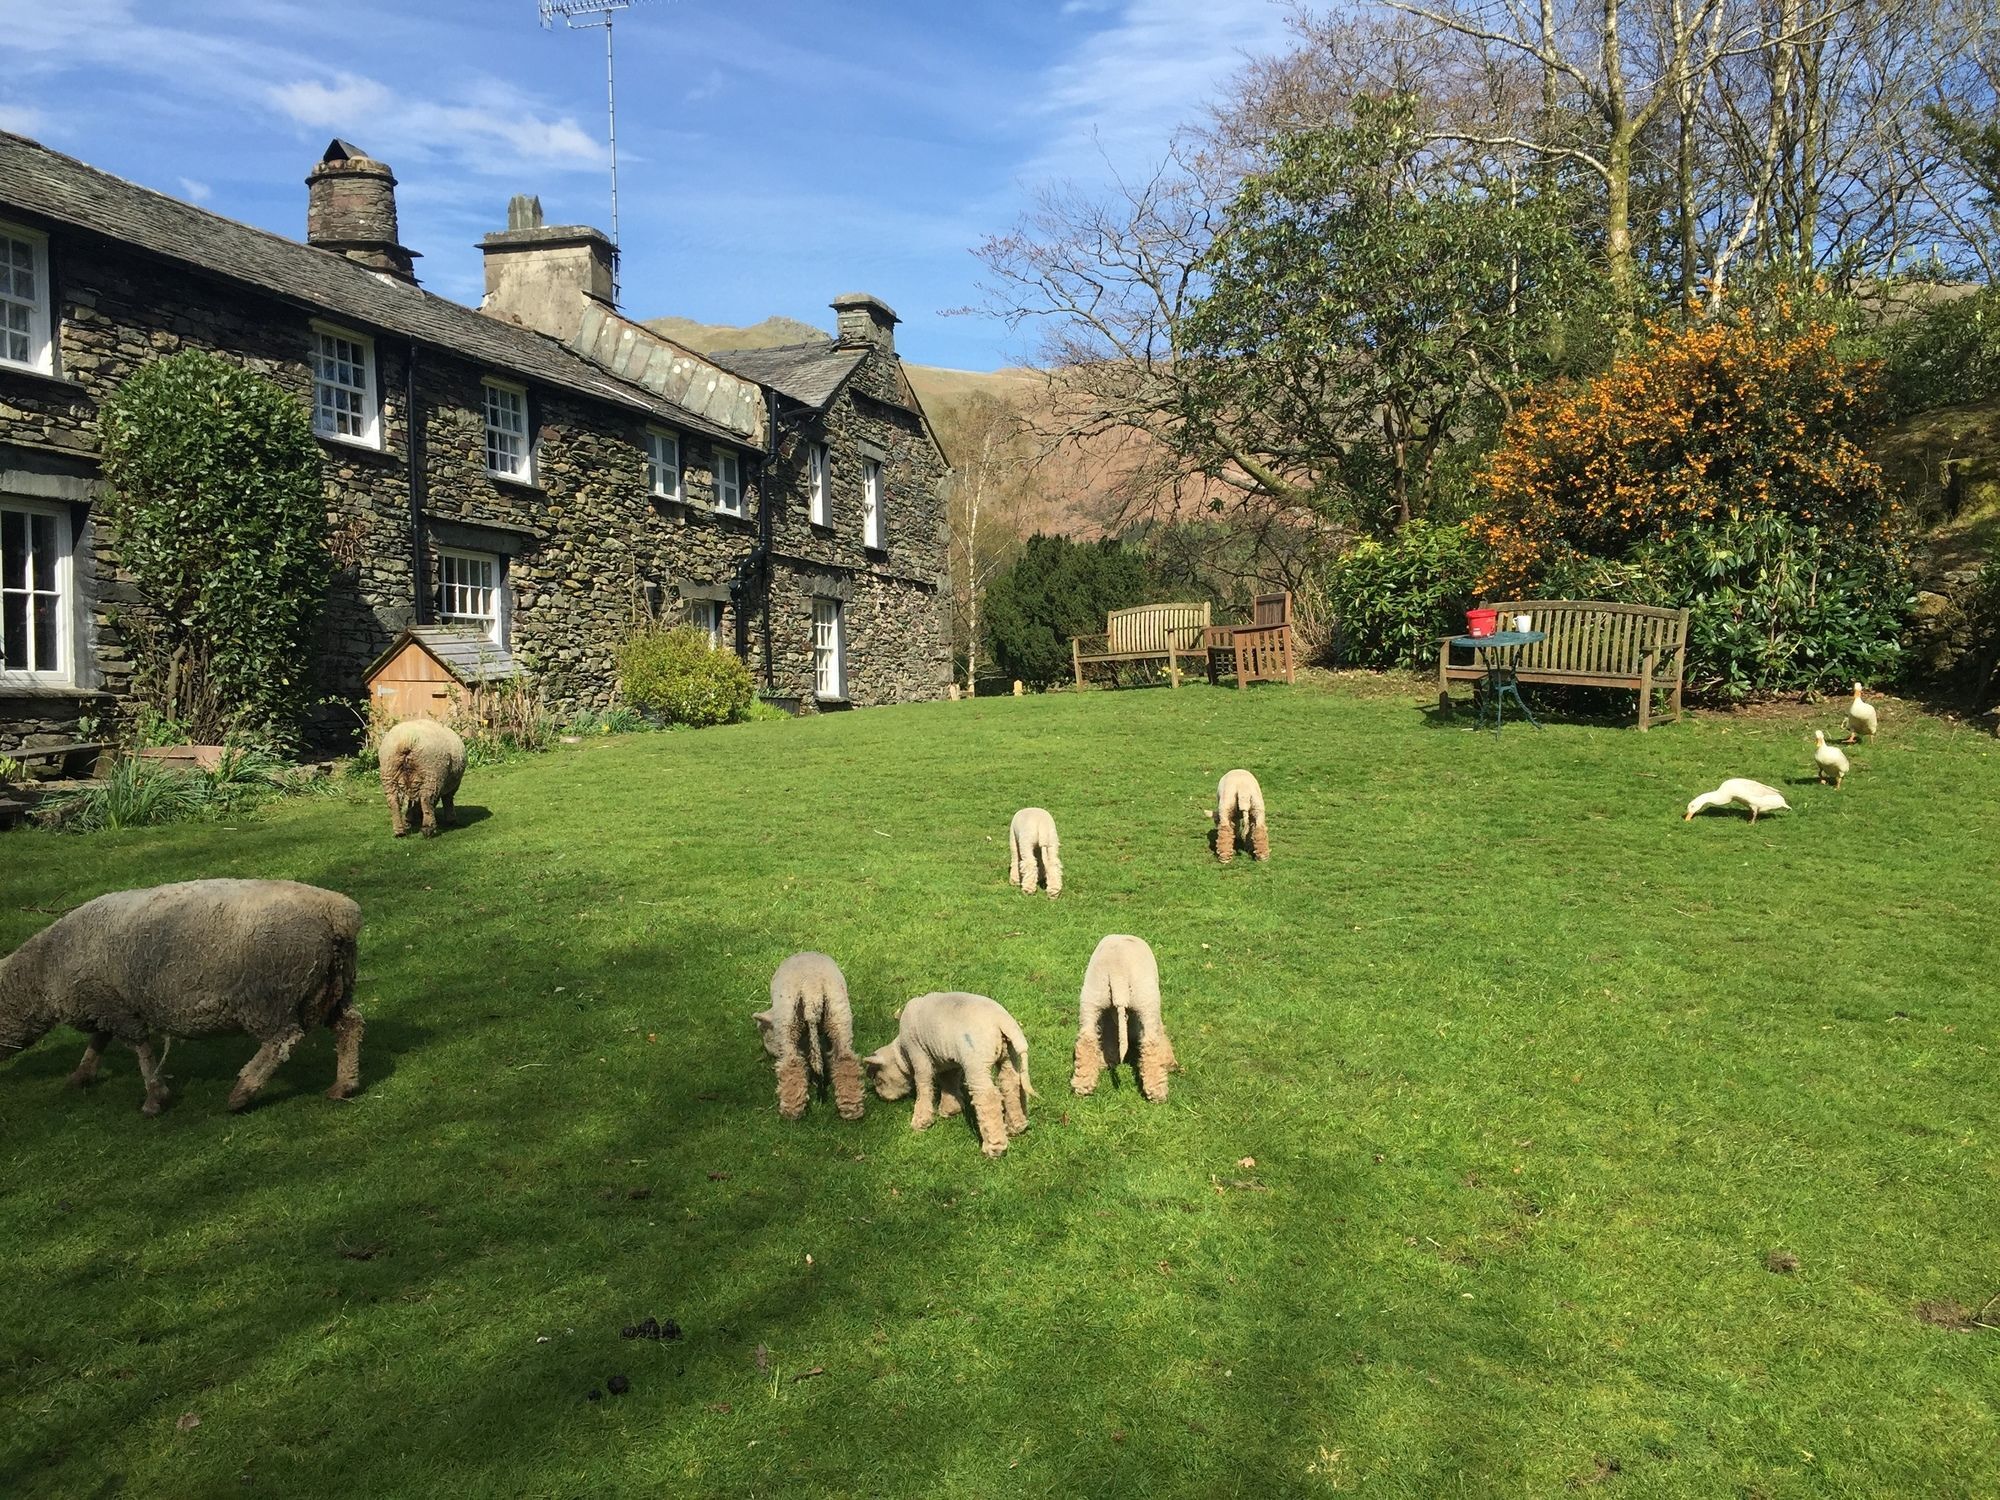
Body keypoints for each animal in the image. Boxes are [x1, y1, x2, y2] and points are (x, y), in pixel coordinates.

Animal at [0, 880, 366, 1120]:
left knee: (282, 1041)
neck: (43, 970)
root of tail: (338, 912)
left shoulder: (116, 1009)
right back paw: (344, 1085)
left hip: (269, 995)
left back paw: (242, 1093)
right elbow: (98, 1042)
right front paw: (81, 1076)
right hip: (331, 986)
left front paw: (154, 1098)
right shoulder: (107, 1004)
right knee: (350, 1026)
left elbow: (140, 1050)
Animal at [752, 956, 864, 1120]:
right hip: (839, 1015)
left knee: (792, 1064)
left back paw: (792, 1110)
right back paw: (851, 1108)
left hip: (788, 1021)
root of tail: (812, 988)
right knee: (845, 1060)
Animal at [864, 1000, 1040, 1160]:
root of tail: (1003, 1022)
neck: (902, 1054)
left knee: (987, 1097)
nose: (882, 1097)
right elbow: (949, 1081)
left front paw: (921, 1121)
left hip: (976, 1060)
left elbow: (923, 1084)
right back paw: (1016, 1126)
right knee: (1011, 1084)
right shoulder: (947, 1059)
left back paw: (994, 1147)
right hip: (1008, 1055)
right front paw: (950, 1109)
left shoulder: (918, 1053)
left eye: (878, 1080)